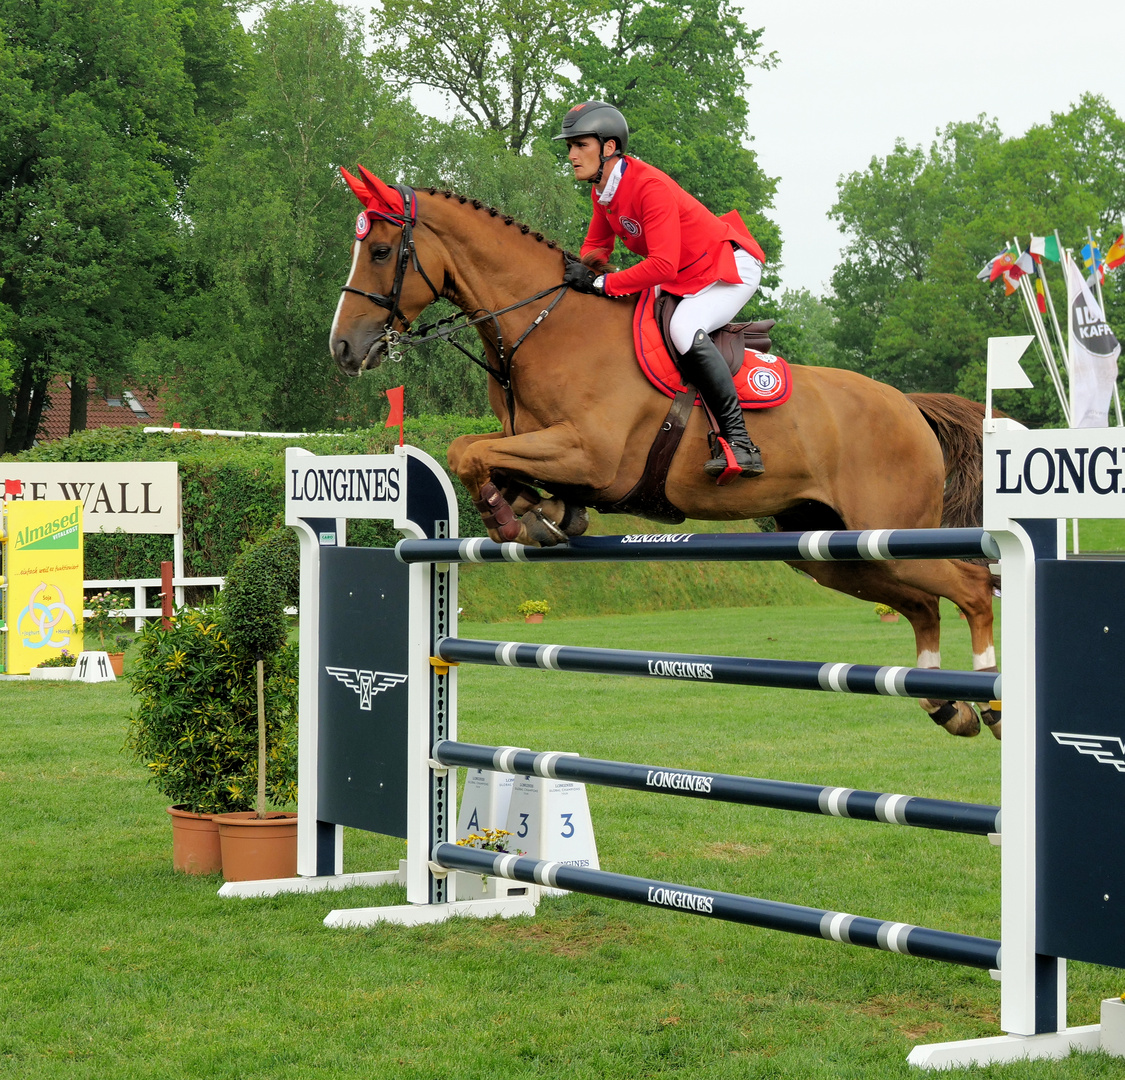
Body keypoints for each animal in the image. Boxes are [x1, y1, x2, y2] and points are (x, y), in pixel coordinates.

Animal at [328, 171, 999, 742]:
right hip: (834, 552)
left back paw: (987, 702)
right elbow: (479, 452)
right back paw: (947, 706)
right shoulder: (547, 446)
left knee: (969, 587)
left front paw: (507, 516)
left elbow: (468, 450)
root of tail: (910, 407)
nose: (343, 349)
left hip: (890, 530)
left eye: (381, 252)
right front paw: (543, 515)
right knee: (921, 604)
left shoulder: (591, 455)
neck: (545, 324)